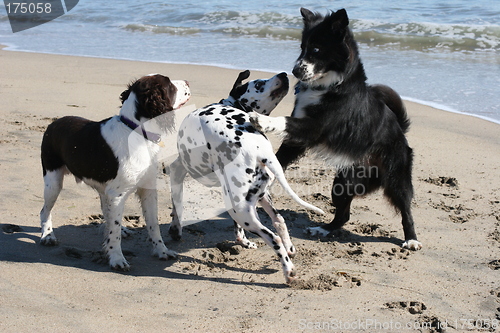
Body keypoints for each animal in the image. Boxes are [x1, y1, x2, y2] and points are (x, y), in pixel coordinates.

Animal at [168, 70, 324, 282]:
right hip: (251, 200)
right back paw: (289, 248)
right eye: (258, 83)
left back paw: (288, 270)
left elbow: (177, 206)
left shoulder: (177, 171)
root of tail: (260, 148)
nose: (284, 74)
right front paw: (244, 241)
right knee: (279, 221)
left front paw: (175, 229)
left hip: (241, 211)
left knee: (273, 238)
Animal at [250, 8, 422, 249]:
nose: (295, 70)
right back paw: (323, 229)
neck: (329, 86)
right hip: (343, 182)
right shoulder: (298, 140)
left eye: (316, 49)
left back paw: (411, 239)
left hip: (396, 177)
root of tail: (401, 131)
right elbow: (281, 156)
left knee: (405, 208)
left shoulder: (314, 128)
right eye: (302, 47)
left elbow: (284, 121)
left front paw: (262, 120)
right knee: (343, 214)